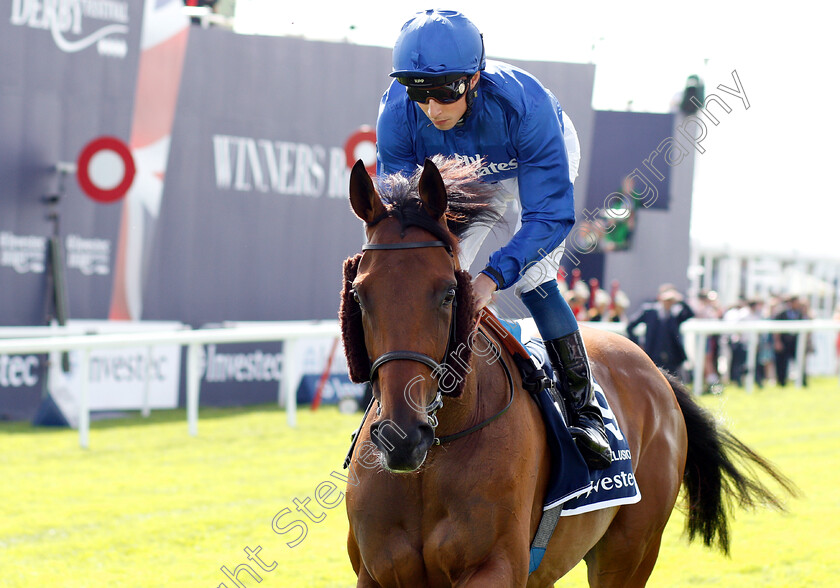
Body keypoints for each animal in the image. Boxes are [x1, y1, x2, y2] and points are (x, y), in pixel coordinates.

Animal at [338, 157, 792, 588]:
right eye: (359, 295)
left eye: (449, 293)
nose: (402, 438)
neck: (434, 459)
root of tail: (657, 372)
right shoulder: (375, 572)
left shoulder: (496, 567)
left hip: (630, 553)